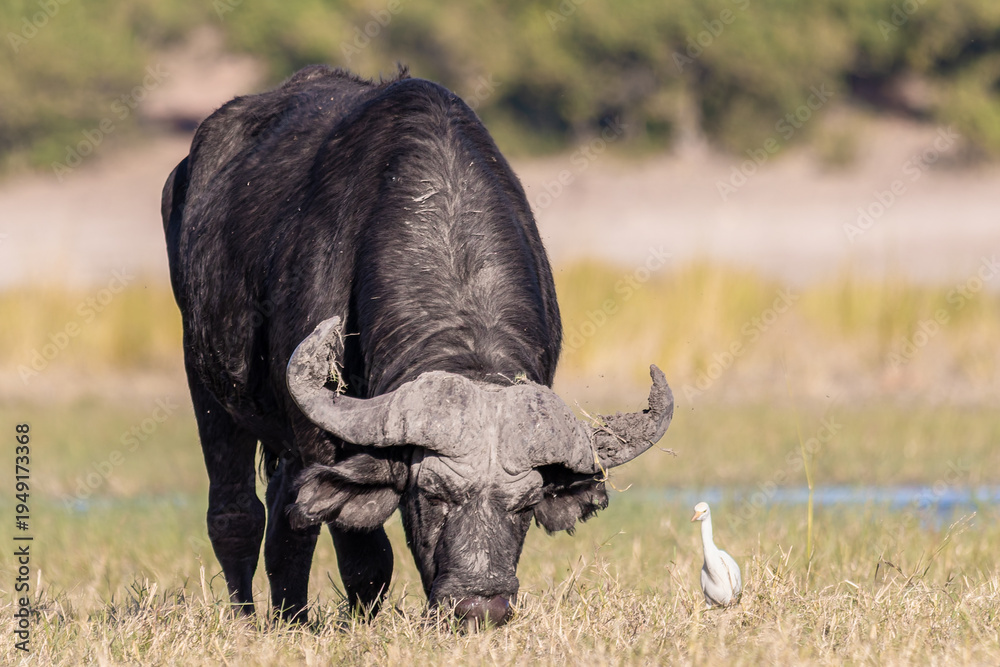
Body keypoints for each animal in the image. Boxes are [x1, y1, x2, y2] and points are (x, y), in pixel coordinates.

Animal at [162, 65, 673, 626]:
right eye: (432, 493)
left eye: (524, 504)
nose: (479, 605)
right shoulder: (320, 437)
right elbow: (364, 554)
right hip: (204, 376)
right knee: (237, 515)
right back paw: (249, 618)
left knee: (285, 517)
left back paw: (291, 616)